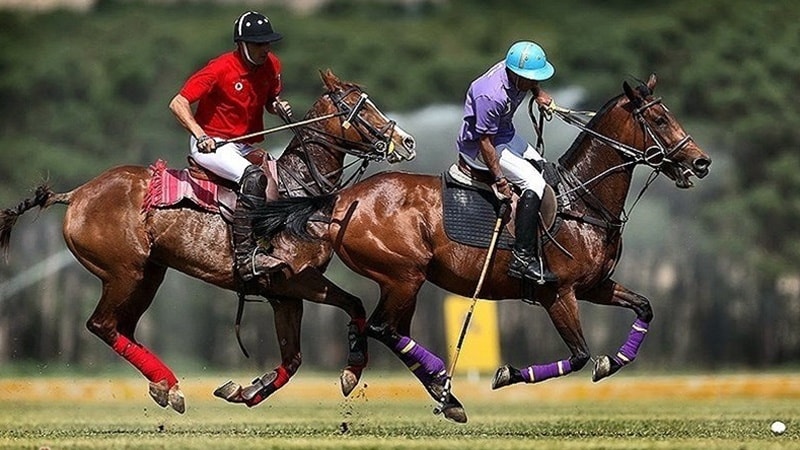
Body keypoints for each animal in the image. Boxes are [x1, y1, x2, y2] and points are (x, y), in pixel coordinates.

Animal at [0, 69, 412, 412]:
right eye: (359, 107)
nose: (406, 141)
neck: (299, 190)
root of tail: (77, 194)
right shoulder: (298, 279)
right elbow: (354, 303)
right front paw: (351, 371)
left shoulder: (284, 294)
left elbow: (293, 359)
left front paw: (246, 390)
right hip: (124, 272)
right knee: (101, 325)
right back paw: (169, 386)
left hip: (149, 274)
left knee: (121, 327)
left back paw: (165, 387)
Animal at [255, 74, 712, 422]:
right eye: (658, 118)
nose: (701, 162)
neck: (582, 201)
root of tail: (341, 198)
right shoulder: (558, 293)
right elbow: (581, 354)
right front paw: (507, 374)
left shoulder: (594, 286)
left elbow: (644, 308)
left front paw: (614, 361)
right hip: (404, 275)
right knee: (384, 328)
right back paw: (441, 384)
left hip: (402, 281)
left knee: (391, 330)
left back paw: (438, 393)